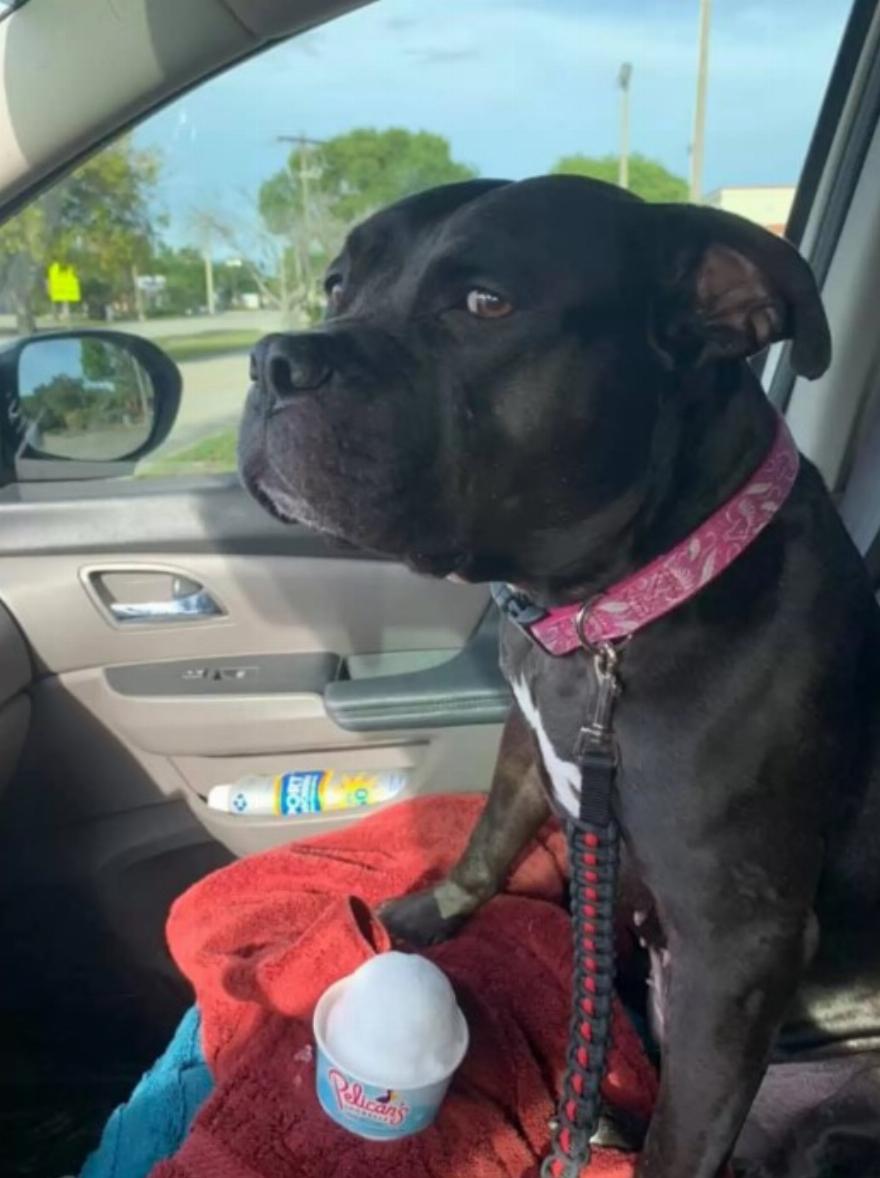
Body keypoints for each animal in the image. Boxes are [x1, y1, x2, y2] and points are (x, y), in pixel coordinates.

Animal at [240, 176, 880, 1177]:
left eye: (484, 304)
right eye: (340, 283)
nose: (274, 362)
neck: (611, 612)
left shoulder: (738, 949)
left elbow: (682, 1143)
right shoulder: (525, 736)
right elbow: (491, 834)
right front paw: (430, 912)